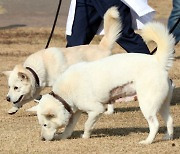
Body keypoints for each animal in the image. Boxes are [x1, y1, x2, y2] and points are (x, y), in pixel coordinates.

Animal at [28, 21, 175, 144]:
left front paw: (85, 136)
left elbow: (87, 124)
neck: (64, 94)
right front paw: (64, 136)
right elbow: (69, 127)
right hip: (162, 104)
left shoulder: (96, 110)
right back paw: (168, 137)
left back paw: (147, 141)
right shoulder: (76, 111)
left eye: (45, 124)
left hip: (147, 104)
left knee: (155, 125)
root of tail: (157, 61)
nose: (42, 139)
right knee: (170, 120)